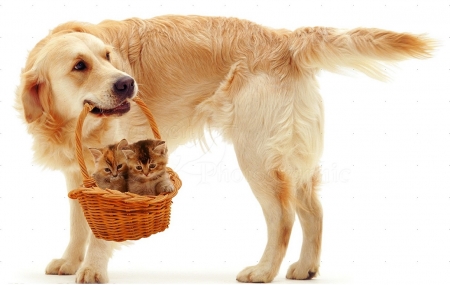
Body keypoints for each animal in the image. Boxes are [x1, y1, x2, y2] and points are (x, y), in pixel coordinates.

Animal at [15, 15, 434, 282]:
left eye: (107, 56)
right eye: (79, 65)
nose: (127, 84)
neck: (68, 123)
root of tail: (285, 38)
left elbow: (99, 233)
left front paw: (92, 269)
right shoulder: (79, 173)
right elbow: (78, 223)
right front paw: (71, 260)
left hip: (256, 155)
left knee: (283, 217)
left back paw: (263, 271)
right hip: (288, 158)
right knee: (313, 209)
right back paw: (305, 268)